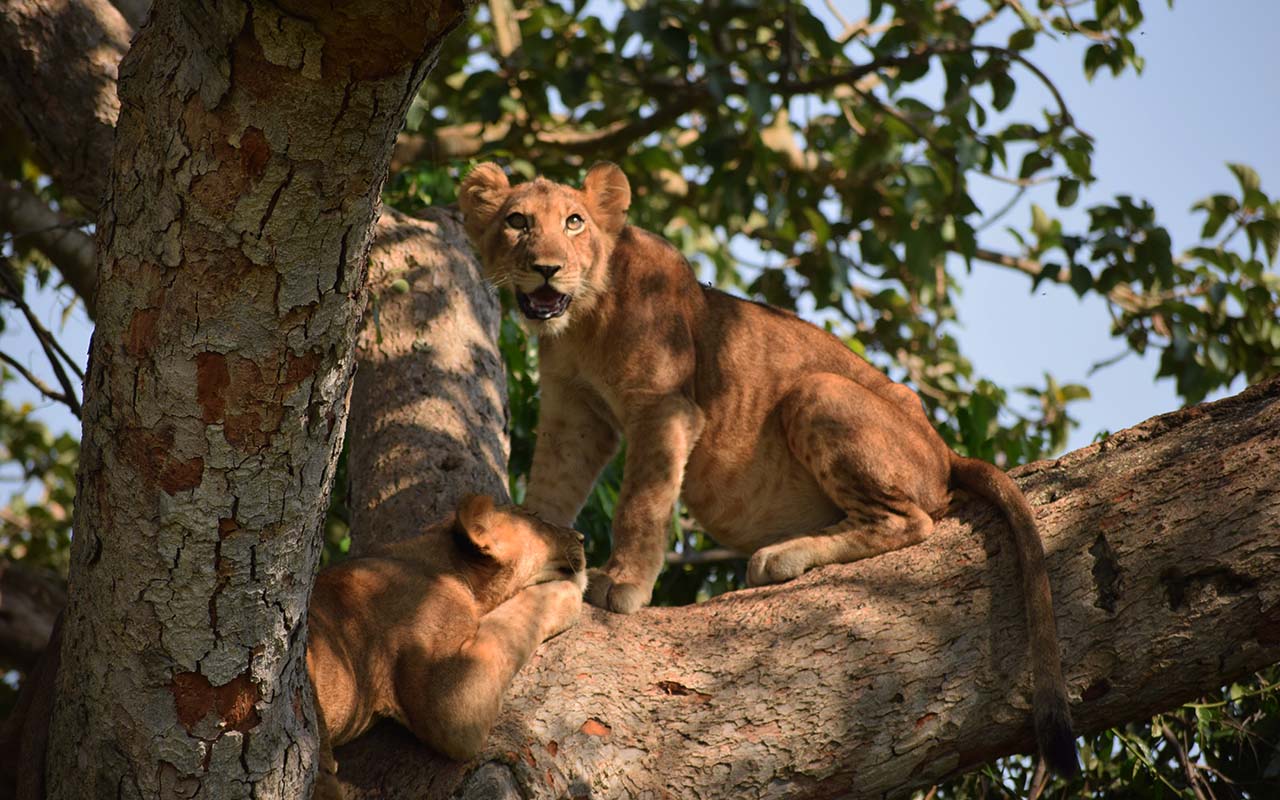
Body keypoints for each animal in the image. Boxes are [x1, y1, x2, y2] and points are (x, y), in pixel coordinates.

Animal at [460, 160, 1080, 773]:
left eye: (574, 222)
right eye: (517, 221)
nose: (547, 269)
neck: (584, 324)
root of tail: (946, 450)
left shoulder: (665, 409)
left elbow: (642, 501)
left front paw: (622, 584)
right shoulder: (574, 412)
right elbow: (550, 491)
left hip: (818, 390)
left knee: (911, 521)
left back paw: (783, 555)